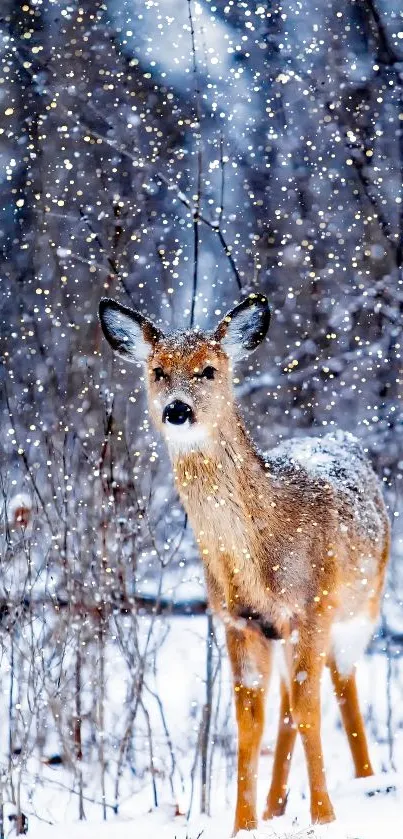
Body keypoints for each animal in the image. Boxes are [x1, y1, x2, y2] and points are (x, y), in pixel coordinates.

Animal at [98, 294, 392, 832]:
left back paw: (366, 781)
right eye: (157, 371)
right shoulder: (238, 621)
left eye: (209, 369)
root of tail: (342, 438)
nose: (177, 409)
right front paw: (244, 825)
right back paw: (276, 804)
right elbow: (249, 723)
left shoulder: (313, 607)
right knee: (287, 705)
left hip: (361, 606)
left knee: (342, 686)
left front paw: (324, 818)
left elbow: (311, 710)